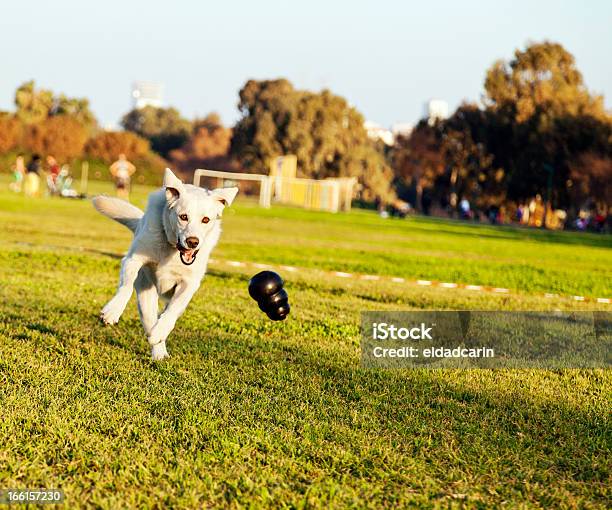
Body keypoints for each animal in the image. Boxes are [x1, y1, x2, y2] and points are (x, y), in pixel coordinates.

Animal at [92, 167, 237, 358]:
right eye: (183, 217)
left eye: (206, 220)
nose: (193, 242)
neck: (172, 249)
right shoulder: (132, 260)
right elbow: (126, 286)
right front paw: (112, 311)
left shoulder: (189, 283)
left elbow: (173, 309)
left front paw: (160, 330)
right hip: (146, 297)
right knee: (149, 319)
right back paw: (158, 352)